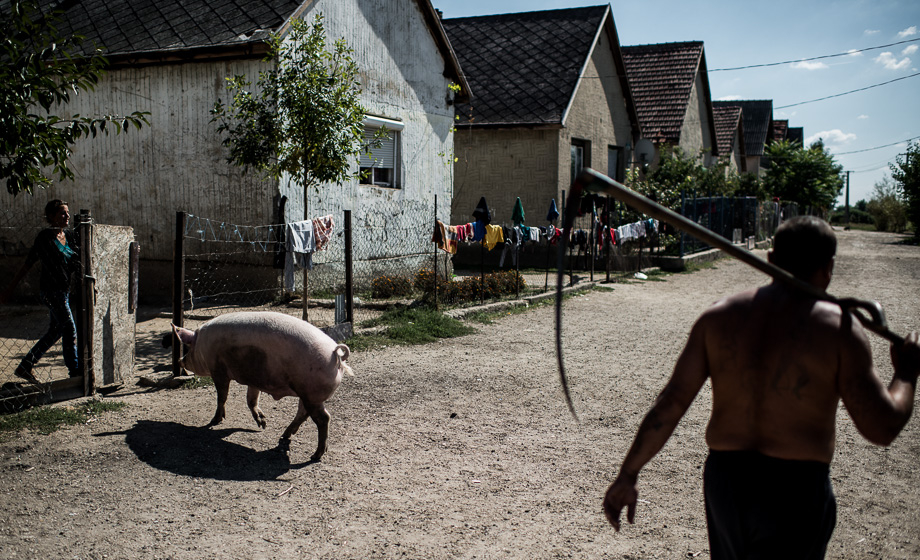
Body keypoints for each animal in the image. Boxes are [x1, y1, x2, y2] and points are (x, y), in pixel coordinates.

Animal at [170, 310, 352, 460]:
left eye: (188, 347)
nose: (179, 360)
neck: (202, 345)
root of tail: (336, 354)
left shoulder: (219, 372)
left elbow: (222, 397)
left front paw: (214, 422)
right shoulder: (253, 380)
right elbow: (251, 400)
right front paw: (262, 424)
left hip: (311, 393)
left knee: (323, 418)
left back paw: (315, 456)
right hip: (307, 394)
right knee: (303, 413)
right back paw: (284, 436)